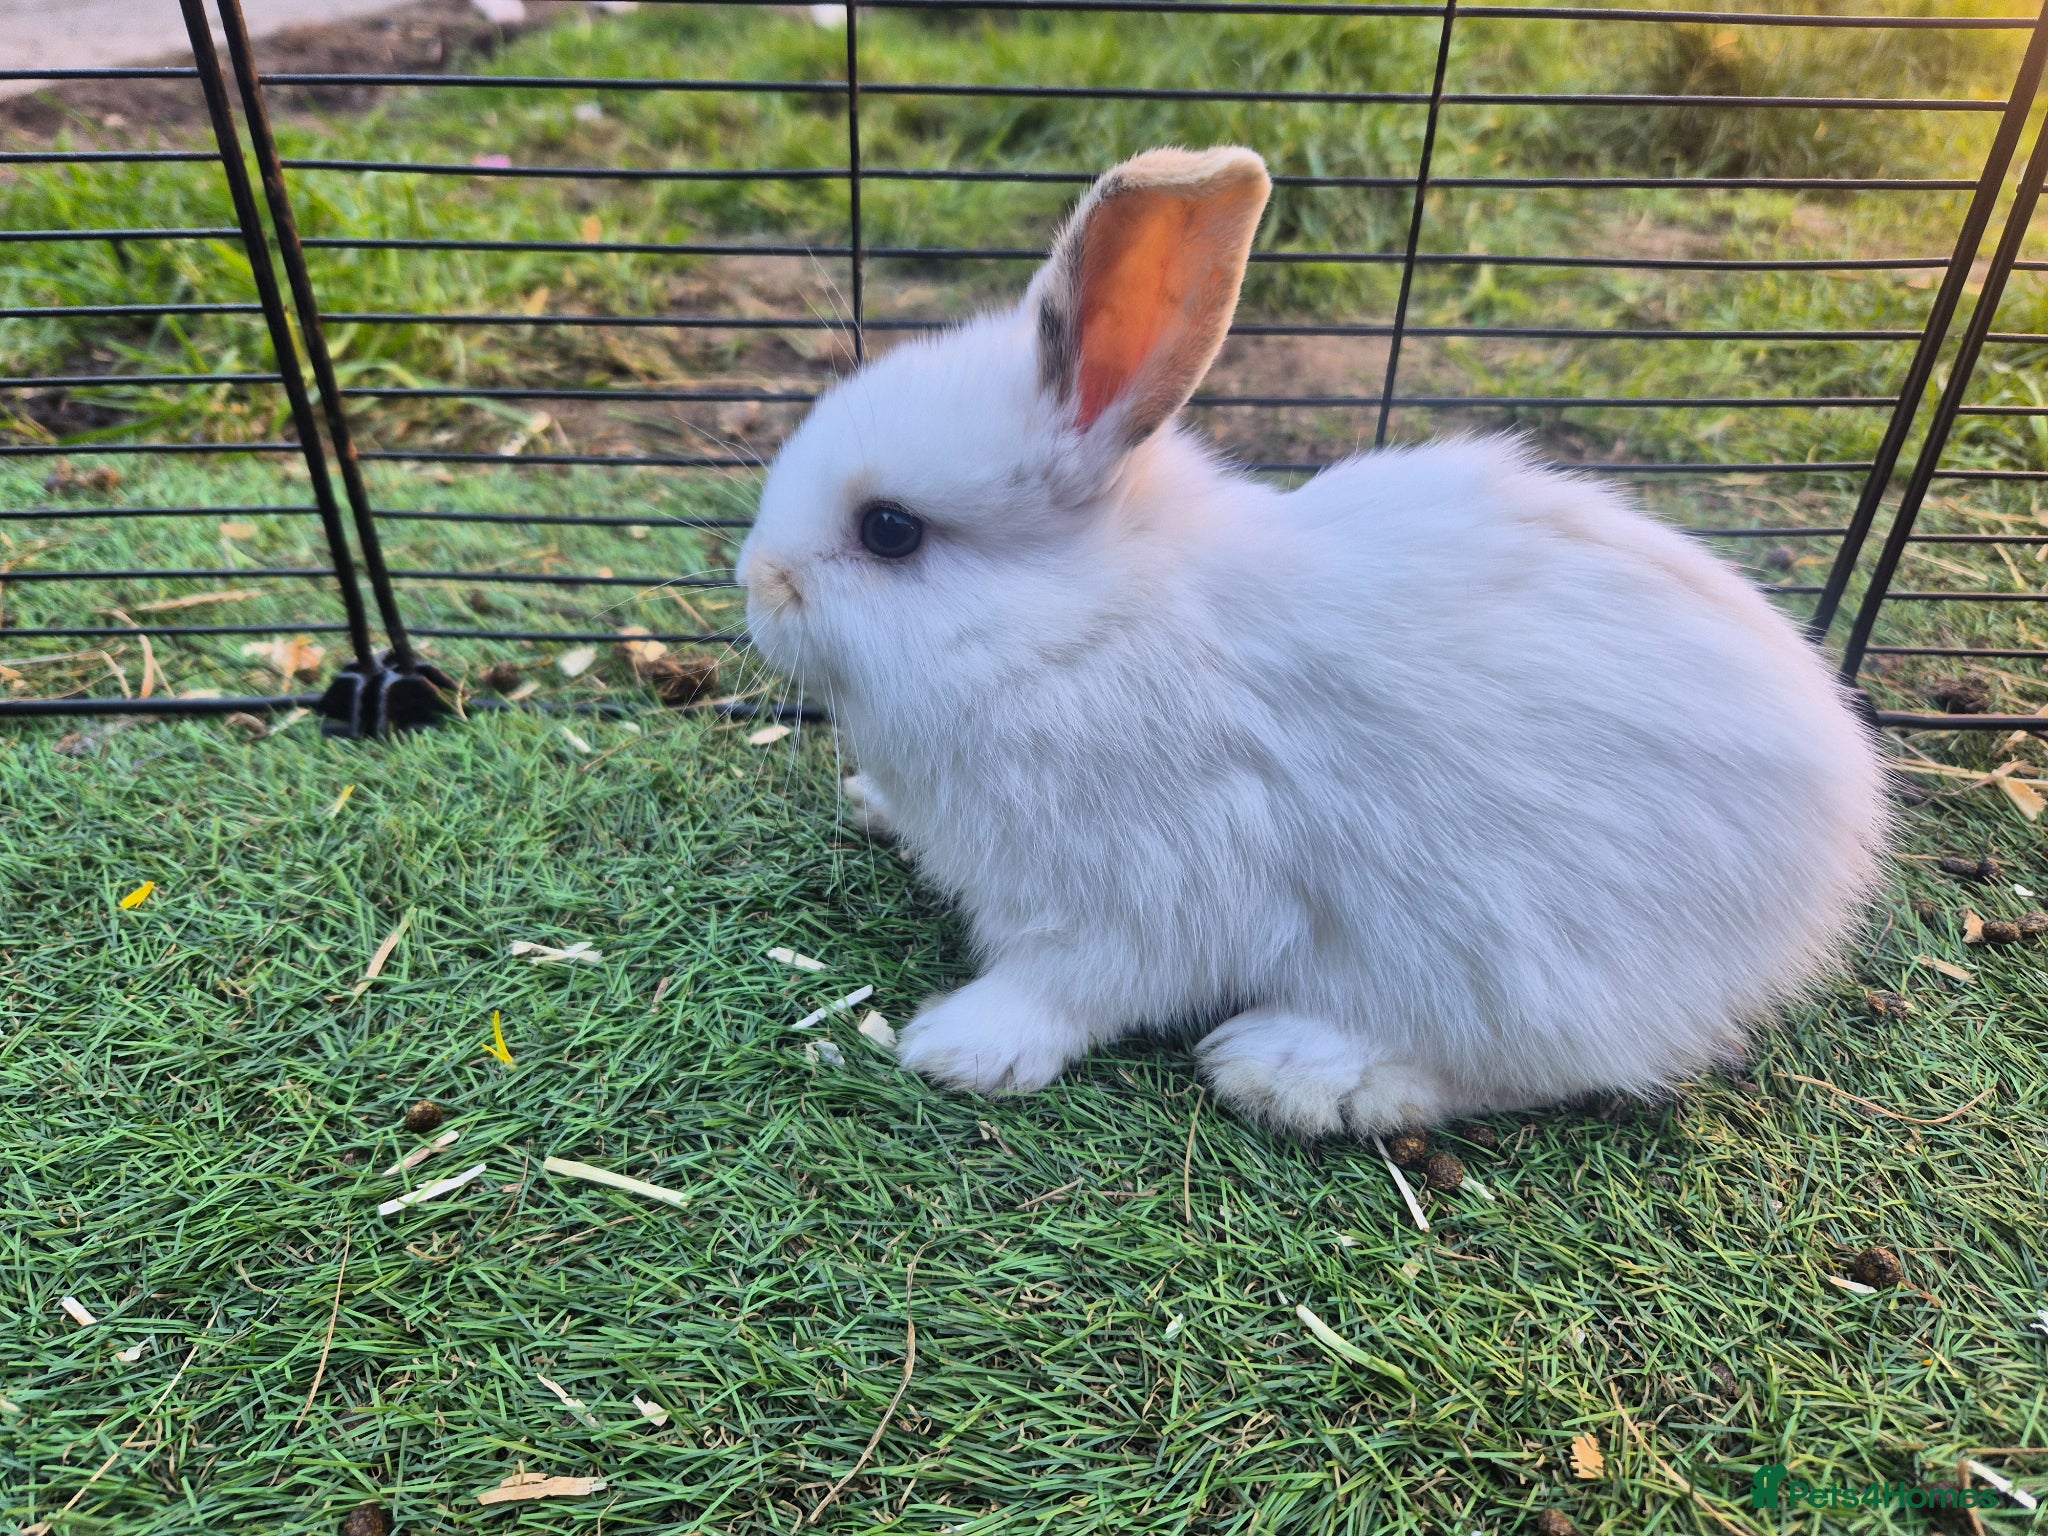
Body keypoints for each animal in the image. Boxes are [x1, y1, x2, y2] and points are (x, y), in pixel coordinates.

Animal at [736, 145, 1890, 1137]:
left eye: (890, 530)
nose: (755, 582)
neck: (1075, 632)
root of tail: (1842, 849)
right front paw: (873, 808)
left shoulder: (1142, 890)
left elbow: (1069, 987)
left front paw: (956, 1046)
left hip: (1524, 960)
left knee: (1526, 1066)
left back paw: (1289, 1068)